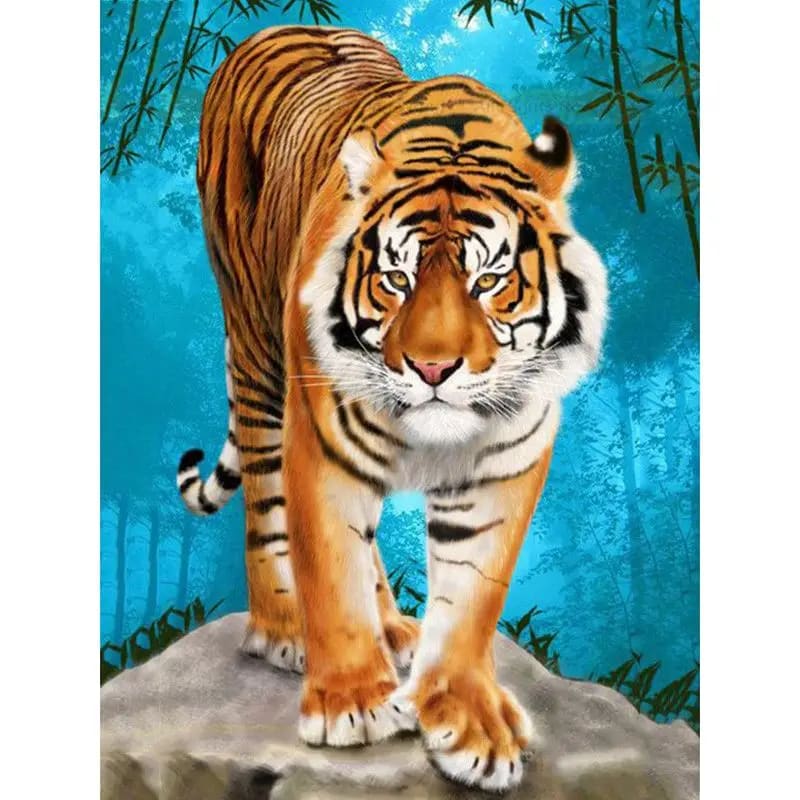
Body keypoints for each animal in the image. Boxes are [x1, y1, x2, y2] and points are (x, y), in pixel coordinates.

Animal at [176, 25, 607, 793]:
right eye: (397, 278)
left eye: (489, 281)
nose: (433, 367)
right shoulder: (321, 436)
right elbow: (329, 564)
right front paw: (351, 703)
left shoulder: (506, 463)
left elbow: (471, 598)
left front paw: (471, 723)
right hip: (257, 350)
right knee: (266, 503)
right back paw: (283, 632)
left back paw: (398, 632)